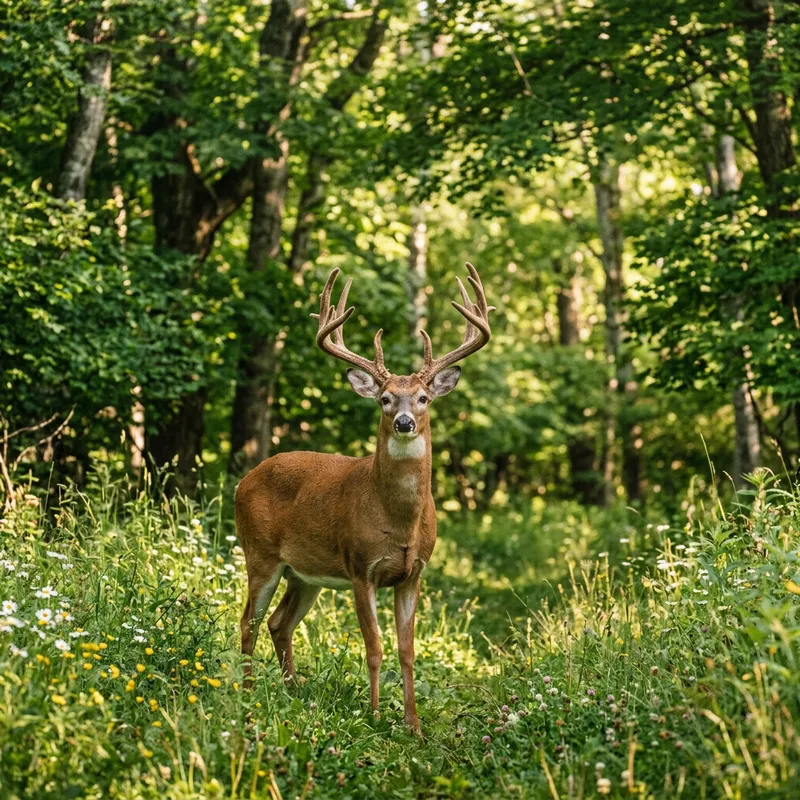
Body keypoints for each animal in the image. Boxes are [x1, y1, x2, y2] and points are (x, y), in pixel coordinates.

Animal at [235, 263, 493, 733]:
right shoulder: (360, 566)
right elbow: (374, 647)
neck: (399, 520)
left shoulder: (414, 572)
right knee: (249, 621)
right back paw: (246, 696)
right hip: (259, 553)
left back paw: (293, 691)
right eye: (385, 398)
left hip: (305, 573)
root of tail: (245, 480)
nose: (405, 422)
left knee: (279, 623)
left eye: (423, 397)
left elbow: (407, 651)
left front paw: (413, 724)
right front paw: (373, 716)